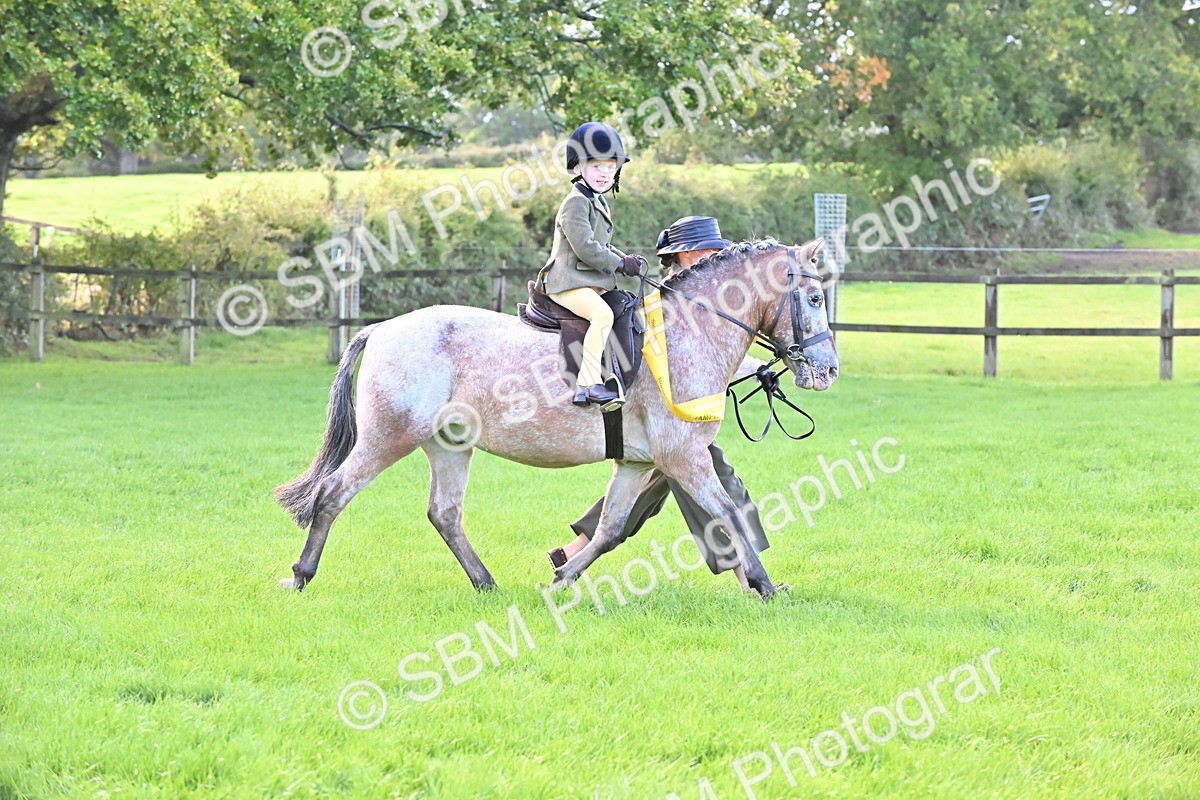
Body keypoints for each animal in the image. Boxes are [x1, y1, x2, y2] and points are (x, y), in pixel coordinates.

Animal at [275, 238, 839, 599]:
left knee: (445, 514)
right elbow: (727, 512)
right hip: (388, 438)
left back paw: (485, 583)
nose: (829, 370)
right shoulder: (685, 458)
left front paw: (563, 578)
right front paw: (763, 585)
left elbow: (610, 528)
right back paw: (301, 575)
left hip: (449, 445)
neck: (682, 335)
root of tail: (382, 328)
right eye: (814, 297)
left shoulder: (638, 464)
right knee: (333, 494)